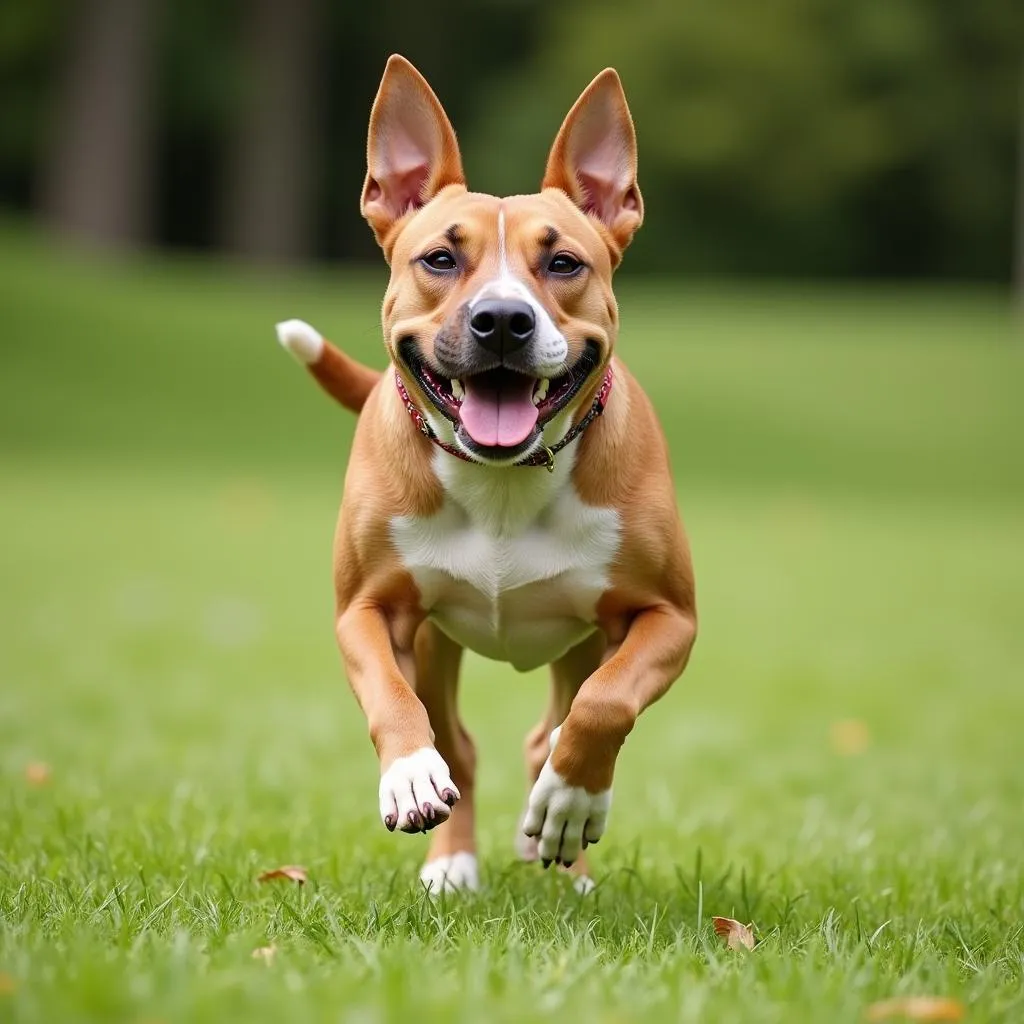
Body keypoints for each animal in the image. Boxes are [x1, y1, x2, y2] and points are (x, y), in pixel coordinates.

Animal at [276, 56, 700, 892]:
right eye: (440, 258)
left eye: (564, 262)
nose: (502, 320)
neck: (503, 482)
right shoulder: (367, 609)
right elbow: (391, 696)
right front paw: (411, 773)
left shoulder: (668, 617)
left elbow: (604, 705)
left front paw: (572, 799)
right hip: (436, 640)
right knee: (460, 744)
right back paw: (453, 865)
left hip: (581, 639)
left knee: (556, 725)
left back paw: (565, 853)